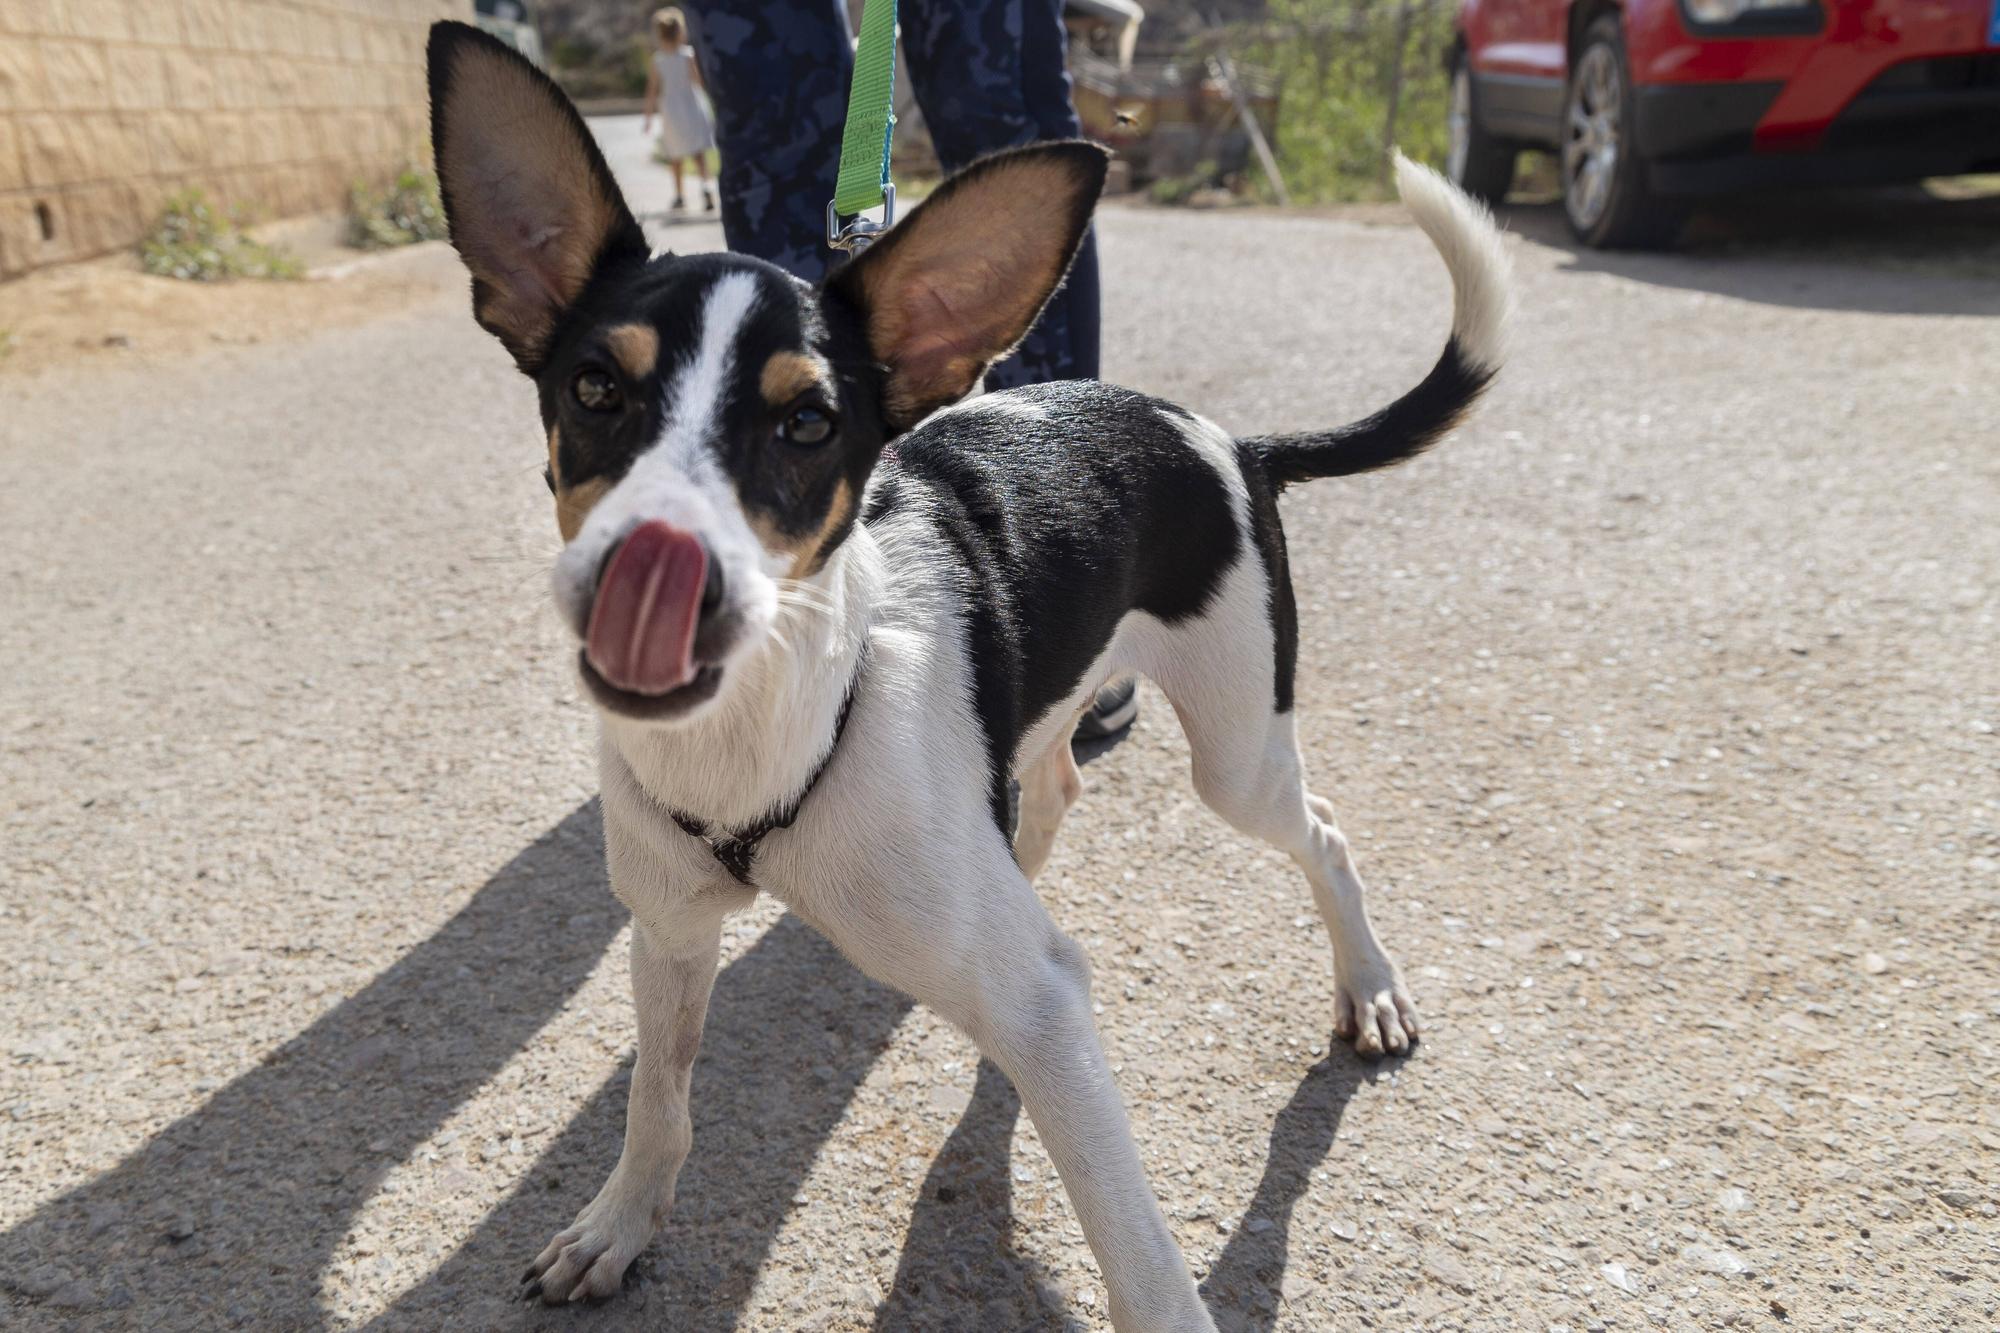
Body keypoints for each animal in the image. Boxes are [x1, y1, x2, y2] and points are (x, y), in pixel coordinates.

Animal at [434, 23, 1504, 1328]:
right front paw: (621, 1223)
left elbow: (1140, 1257)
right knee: (1053, 799)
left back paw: (1369, 983)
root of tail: (1227, 439)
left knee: (1324, 832)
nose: (655, 571)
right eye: (595, 389)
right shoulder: (670, 932)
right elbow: (658, 1098)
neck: (772, 729)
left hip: (1237, 753)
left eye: (808, 424)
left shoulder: (1038, 1001)